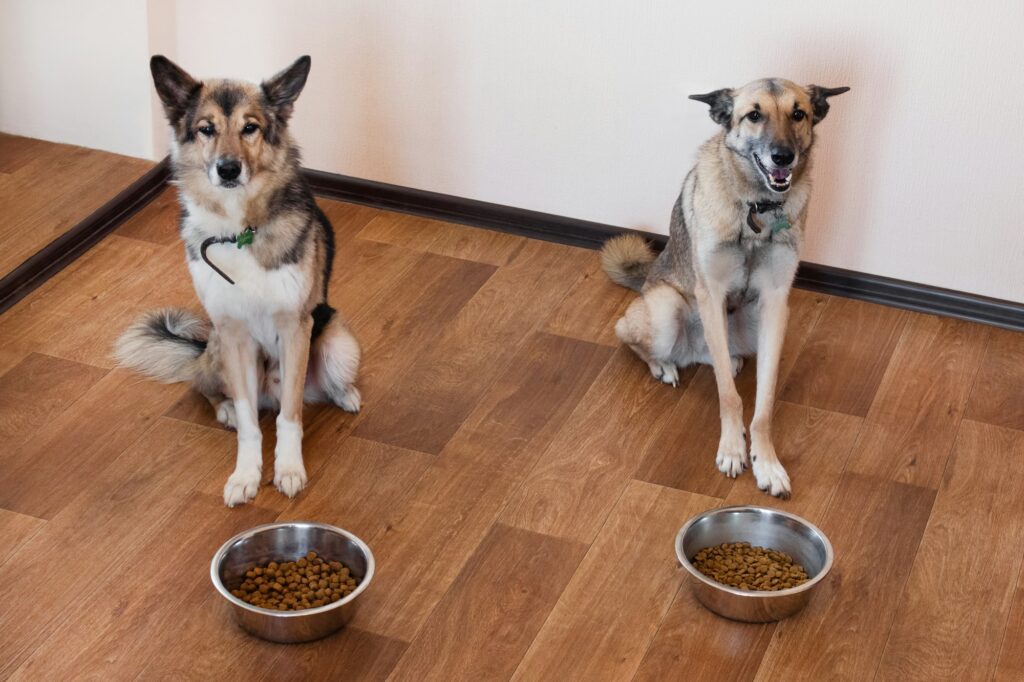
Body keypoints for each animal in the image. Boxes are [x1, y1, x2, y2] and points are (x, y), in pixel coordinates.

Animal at [115, 57, 362, 503]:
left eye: (250, 127)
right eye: (206, 129)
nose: (228, 169)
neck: (239, 230)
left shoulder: (295, 329)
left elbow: (289, 417)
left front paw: (288, 469)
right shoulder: (232, 334)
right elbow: (249, 423)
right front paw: (246, 474)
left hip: (338, 345)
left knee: (317, 385)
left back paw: (345, 394)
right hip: (215, 351)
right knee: (206, 387)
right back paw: (226, 408)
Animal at [598, 76, 847, 497]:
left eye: (798, 114)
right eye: (754, 115)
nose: (783, 157)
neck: (756, 208)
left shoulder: (775, 306)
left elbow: (763, 404)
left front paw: (767, 461)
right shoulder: (710, 295)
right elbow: (729, 397)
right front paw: (732, 448)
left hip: (750, 326)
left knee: (714, 358)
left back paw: (724, 359)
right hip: (666, 310)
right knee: (633, 338)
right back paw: (664, 365)